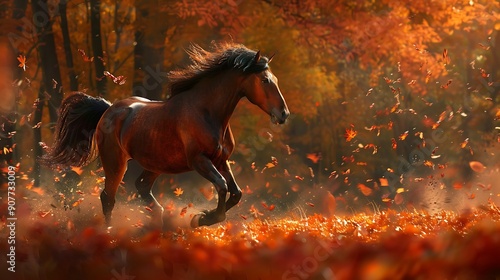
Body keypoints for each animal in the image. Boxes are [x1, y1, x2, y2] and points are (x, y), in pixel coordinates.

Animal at [41, 42, 292, 229]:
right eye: (265, 80)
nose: (284, 114)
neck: (206, 112)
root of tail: (108, 110)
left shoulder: (221, 159)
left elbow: (236, 193)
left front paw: (201, 217)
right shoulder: (199, 161)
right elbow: (222, 187)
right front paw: (201, 219)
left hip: (156, 164)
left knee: (141, 186)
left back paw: (158, 217)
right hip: (115, 163)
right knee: (108, 198)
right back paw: (110, 231)